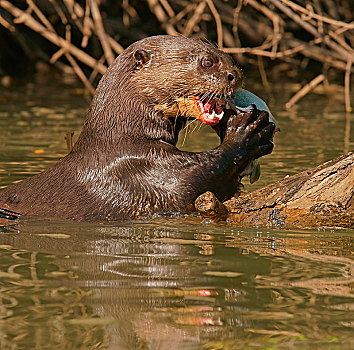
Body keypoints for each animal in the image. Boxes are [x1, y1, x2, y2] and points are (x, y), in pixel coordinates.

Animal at [0, 35, 276, 221]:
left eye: (229, 58)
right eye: (207, 62)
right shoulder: (143, 168)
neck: (122, 137)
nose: (235, 75)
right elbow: (196, 178)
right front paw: (249, 131)